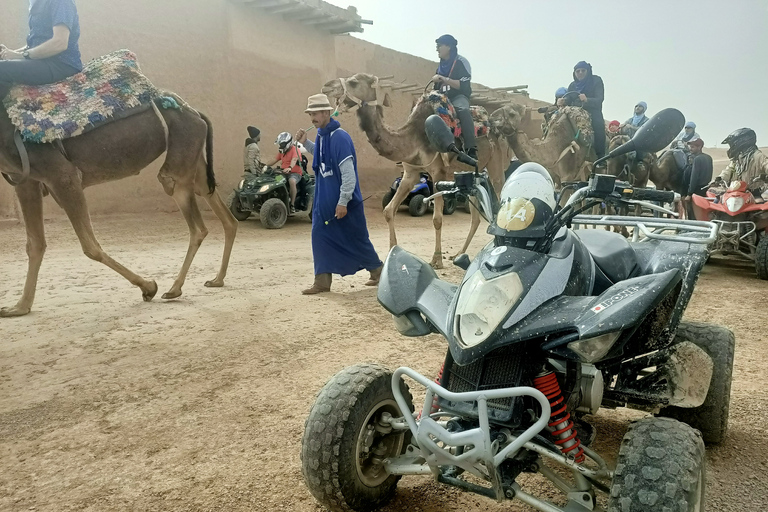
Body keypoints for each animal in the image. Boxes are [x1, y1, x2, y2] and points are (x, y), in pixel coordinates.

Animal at [0, 90, 237, 318]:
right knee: (224, 214)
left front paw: (149, 287)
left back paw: (174, 288)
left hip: (180, 155)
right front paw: (19, 307)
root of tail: (194, 111)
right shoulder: (25, 180)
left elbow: (90, 247)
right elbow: (35, 244)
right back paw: (216, 279)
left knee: (196, 223)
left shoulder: (61, 175)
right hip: (194, 158)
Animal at [320, 75, 508, 272]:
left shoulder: (438, 172)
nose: (327, 86)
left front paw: (436, 259)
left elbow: (437, 218)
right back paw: (459, 254)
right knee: (476, 216)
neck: (414, 137)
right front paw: (392, 253)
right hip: (473, 174)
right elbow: (388, 210)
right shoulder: (410, 173)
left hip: (496, 163)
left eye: (354, 82)